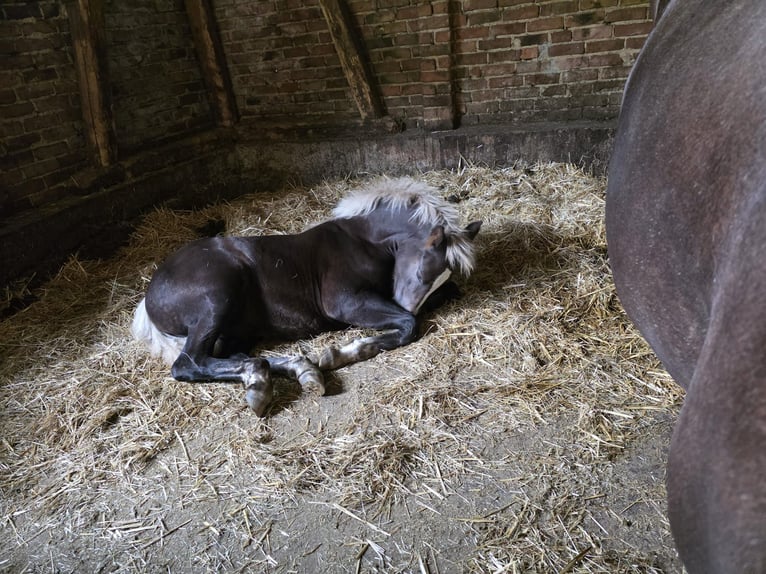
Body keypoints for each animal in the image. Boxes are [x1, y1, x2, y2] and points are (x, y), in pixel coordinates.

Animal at [132, 177, 482, 416]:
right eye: (423, 272)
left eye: (438, 278)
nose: (410, 301)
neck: (364, 241)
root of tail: (148, 300)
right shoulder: (345, 302)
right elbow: (409, 324)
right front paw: (341, 352)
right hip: (217, 299)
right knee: (190, 362)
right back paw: (264, 381)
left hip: (234, 328)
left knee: (235, 356)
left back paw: (301, 370)